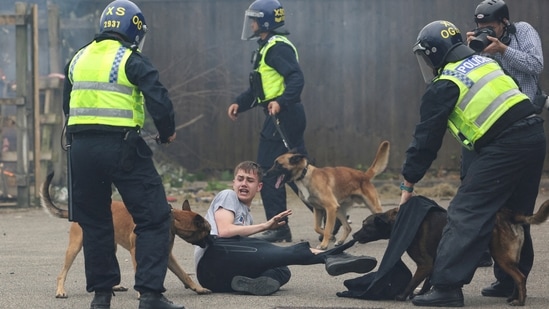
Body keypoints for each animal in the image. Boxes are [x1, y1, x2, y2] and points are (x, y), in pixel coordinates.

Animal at [40, 171, 212, 298]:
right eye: (208, 231)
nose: (212, 241)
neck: (170, 219)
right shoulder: (137, 252)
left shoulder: (167, 256)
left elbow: (184, 274)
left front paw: (198, 288)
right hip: (75, 247)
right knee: (62, 273)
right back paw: (60, 291)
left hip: (110, 246)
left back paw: (114, 286)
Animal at [354, 200, 548, 306]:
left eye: (365, 226)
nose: (354, 235)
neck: (397, 219)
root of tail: (510, 214)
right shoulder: (432, 264)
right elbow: (427, 282)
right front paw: (422, 295)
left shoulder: (424, 264)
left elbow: (412, 282)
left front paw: (402, 296)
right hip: (510, 258)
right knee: (519, 276)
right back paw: (514, 297)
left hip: (502, 258)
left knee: (520, 278)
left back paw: (520, 302)